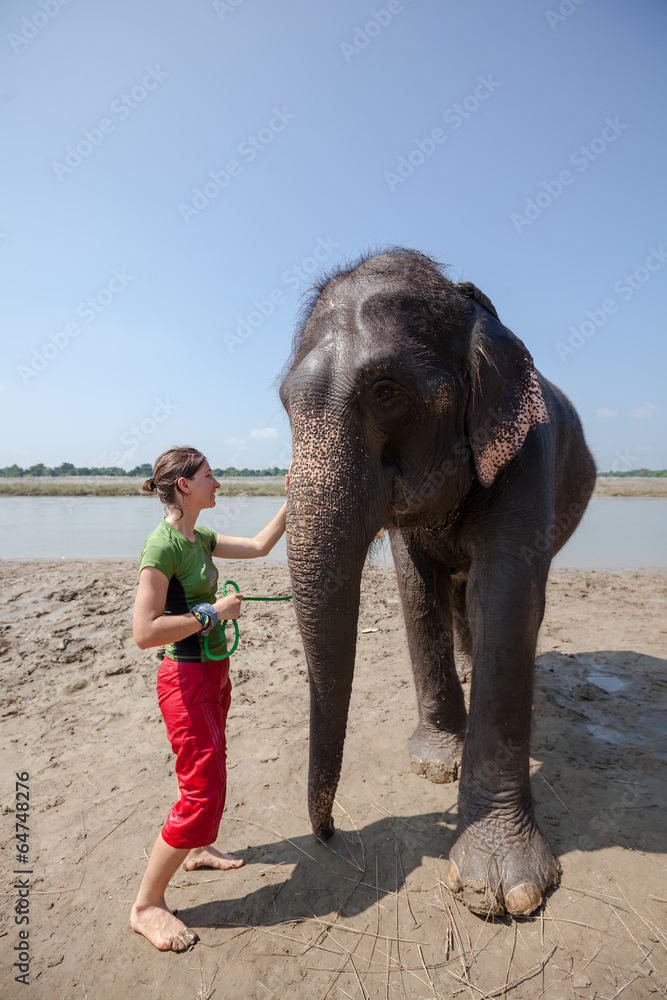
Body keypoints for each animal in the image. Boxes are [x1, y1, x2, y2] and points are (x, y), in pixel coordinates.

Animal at [279, 248, 596, 918]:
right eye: (286, 405)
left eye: (386, 392)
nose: (330, 834)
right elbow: (415, 586)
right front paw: (436, 765)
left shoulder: (528, 453)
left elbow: (505, 598)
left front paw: (502, 890)